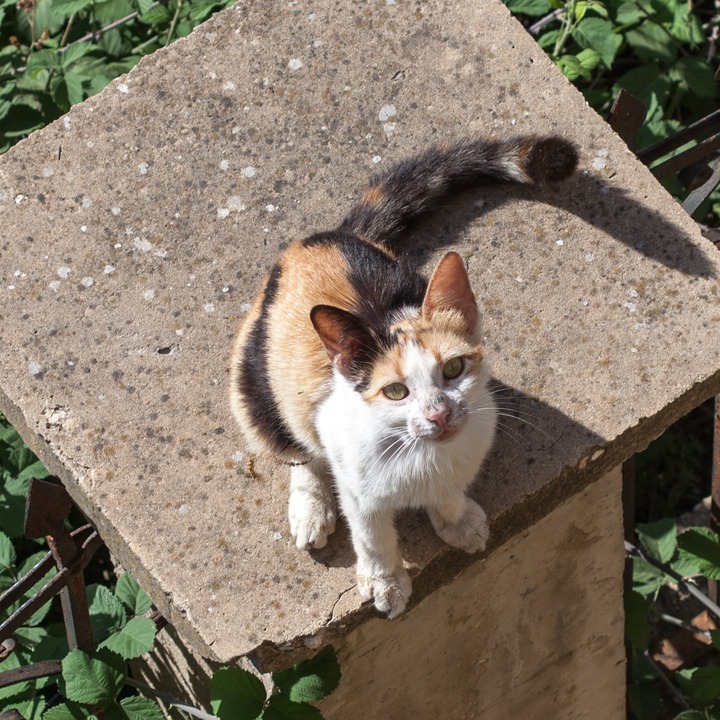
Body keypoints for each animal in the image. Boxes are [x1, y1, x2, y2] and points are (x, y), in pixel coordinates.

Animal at [231, 136, 580, 620]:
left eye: (453, 369)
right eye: (395, 392)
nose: (438, 414)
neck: (421, 456)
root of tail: (315, 240)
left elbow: (451, 492)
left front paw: (457, 521)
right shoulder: (356, 483)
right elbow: (371, 534)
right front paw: (386, 581)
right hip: (254, 383)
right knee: (296, 449)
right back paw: (311, 508)